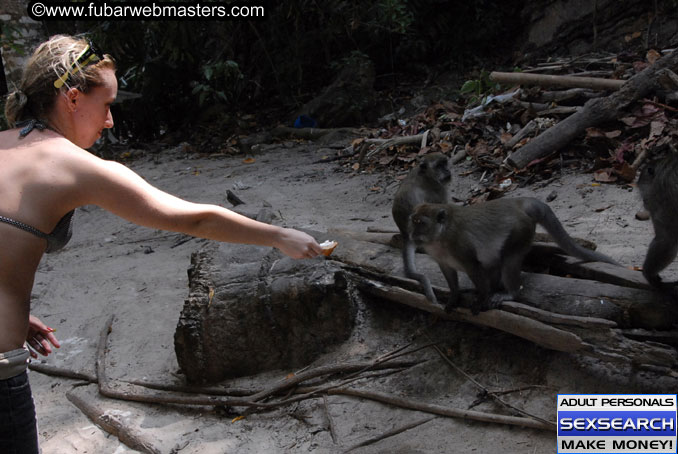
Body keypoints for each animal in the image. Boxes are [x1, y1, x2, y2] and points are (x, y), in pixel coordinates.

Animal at [394, 153, 452, 306]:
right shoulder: (438, 190)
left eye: (445, 163)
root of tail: (406, 235)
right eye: (439, 166)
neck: (425, 176)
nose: (447, 170)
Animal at [410, 197, 620, 314]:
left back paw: (509, 293)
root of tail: (518, 203)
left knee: (508, 260)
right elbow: (448, 271)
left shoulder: (459, 246)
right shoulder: (439, 255)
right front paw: (454, 296)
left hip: (521, 230)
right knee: (494, 263)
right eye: (413, 221)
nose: (412, 233)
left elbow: (474, 266)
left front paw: (482, 297)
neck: (440, 237)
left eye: (421, 223)